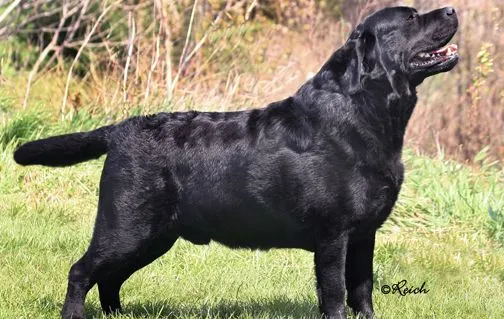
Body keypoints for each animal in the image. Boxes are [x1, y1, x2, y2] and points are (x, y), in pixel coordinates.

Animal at [14, 5, 456, 319]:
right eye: (412, 17)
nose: (452, 10)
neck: (362, 115)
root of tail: (122, 128)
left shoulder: (364, 234)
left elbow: (362, 290)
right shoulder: (334, 235)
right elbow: (335, 294)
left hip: (152, 235)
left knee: (109, 279)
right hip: (126, 225)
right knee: (81, 271)